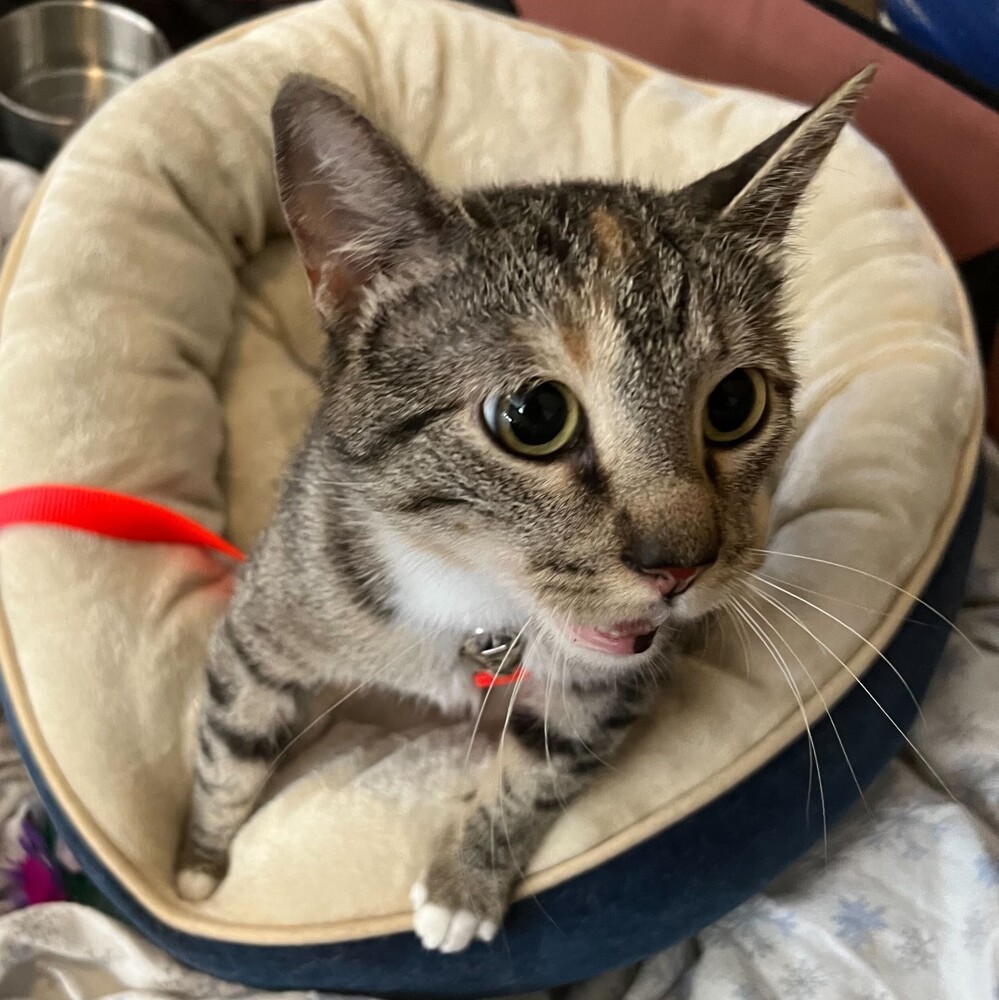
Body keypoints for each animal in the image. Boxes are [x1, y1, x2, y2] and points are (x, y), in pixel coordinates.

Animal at [178, 64, 876, 952]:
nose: (678, 567)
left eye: (734, 403)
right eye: (533, 416)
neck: (475, 604)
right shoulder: (275, 610)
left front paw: (463, 883)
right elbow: (231, 738)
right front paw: (200, 862)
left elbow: (545, 766)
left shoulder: (608, 685)